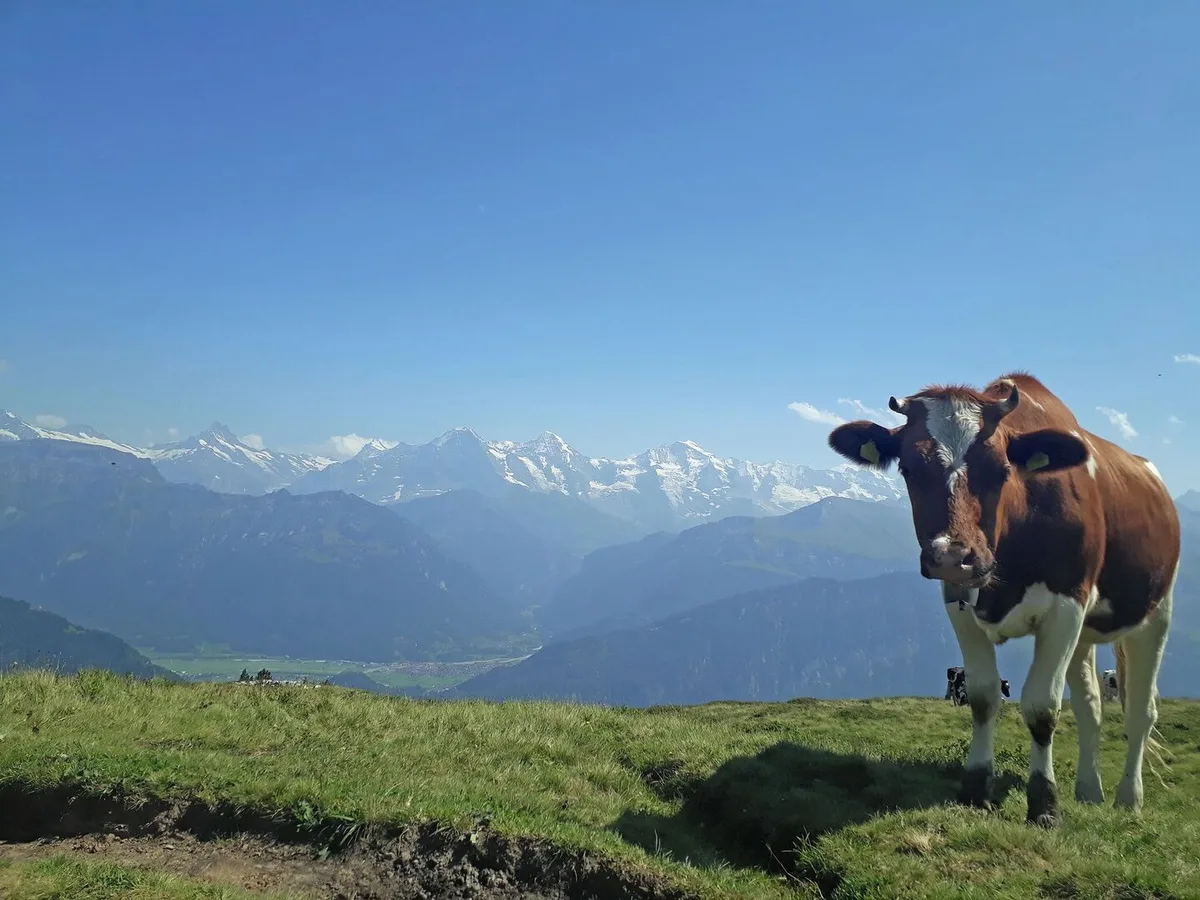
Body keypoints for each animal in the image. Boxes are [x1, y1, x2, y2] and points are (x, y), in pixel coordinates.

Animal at [829, 371, 1179, 828]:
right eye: (908, 468)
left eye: (1000, 470)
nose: (952, 556)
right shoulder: (959, 604)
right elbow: (983, 697)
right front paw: (976, 789)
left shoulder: (1066, 606)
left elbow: (1042, 707)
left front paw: (1044, 806)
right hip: (1084, 634)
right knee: (1091, 706)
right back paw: (1088, 792)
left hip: (1155, 613)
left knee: (1141, 709)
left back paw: (1128, 798)